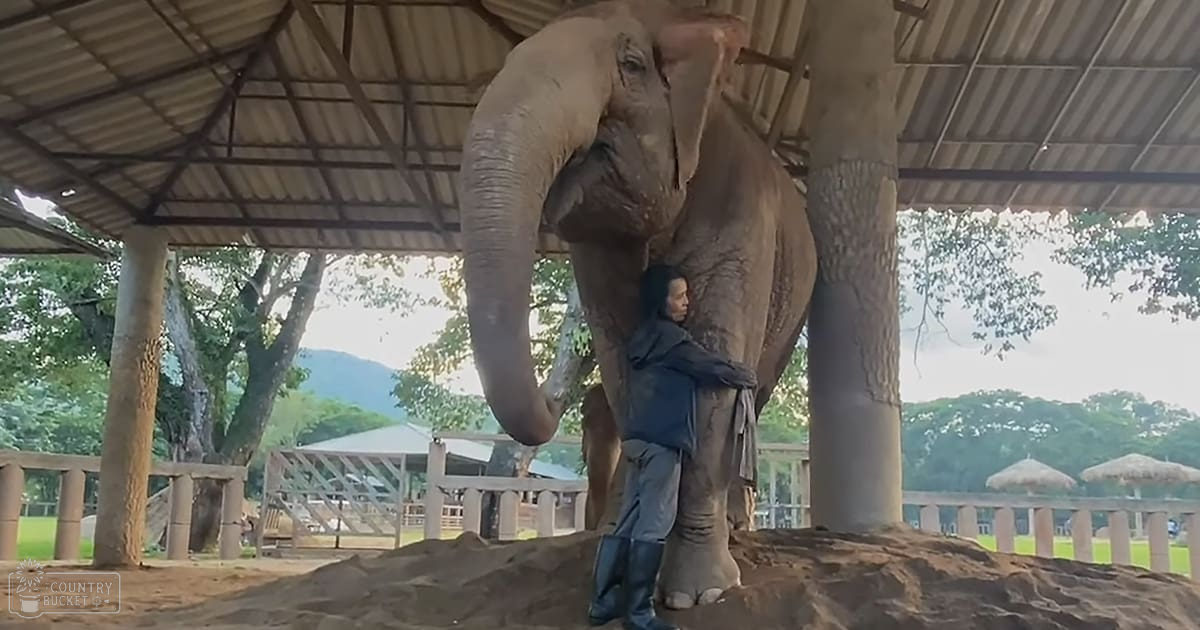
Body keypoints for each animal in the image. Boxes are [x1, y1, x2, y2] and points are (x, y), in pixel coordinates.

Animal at [458, 0, 817, 609]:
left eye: (631, 64)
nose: (557, 403)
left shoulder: (742, 215)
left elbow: (716, 377)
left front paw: (698, 595)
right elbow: (624, 362)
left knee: (760, 390)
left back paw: (737, 525)